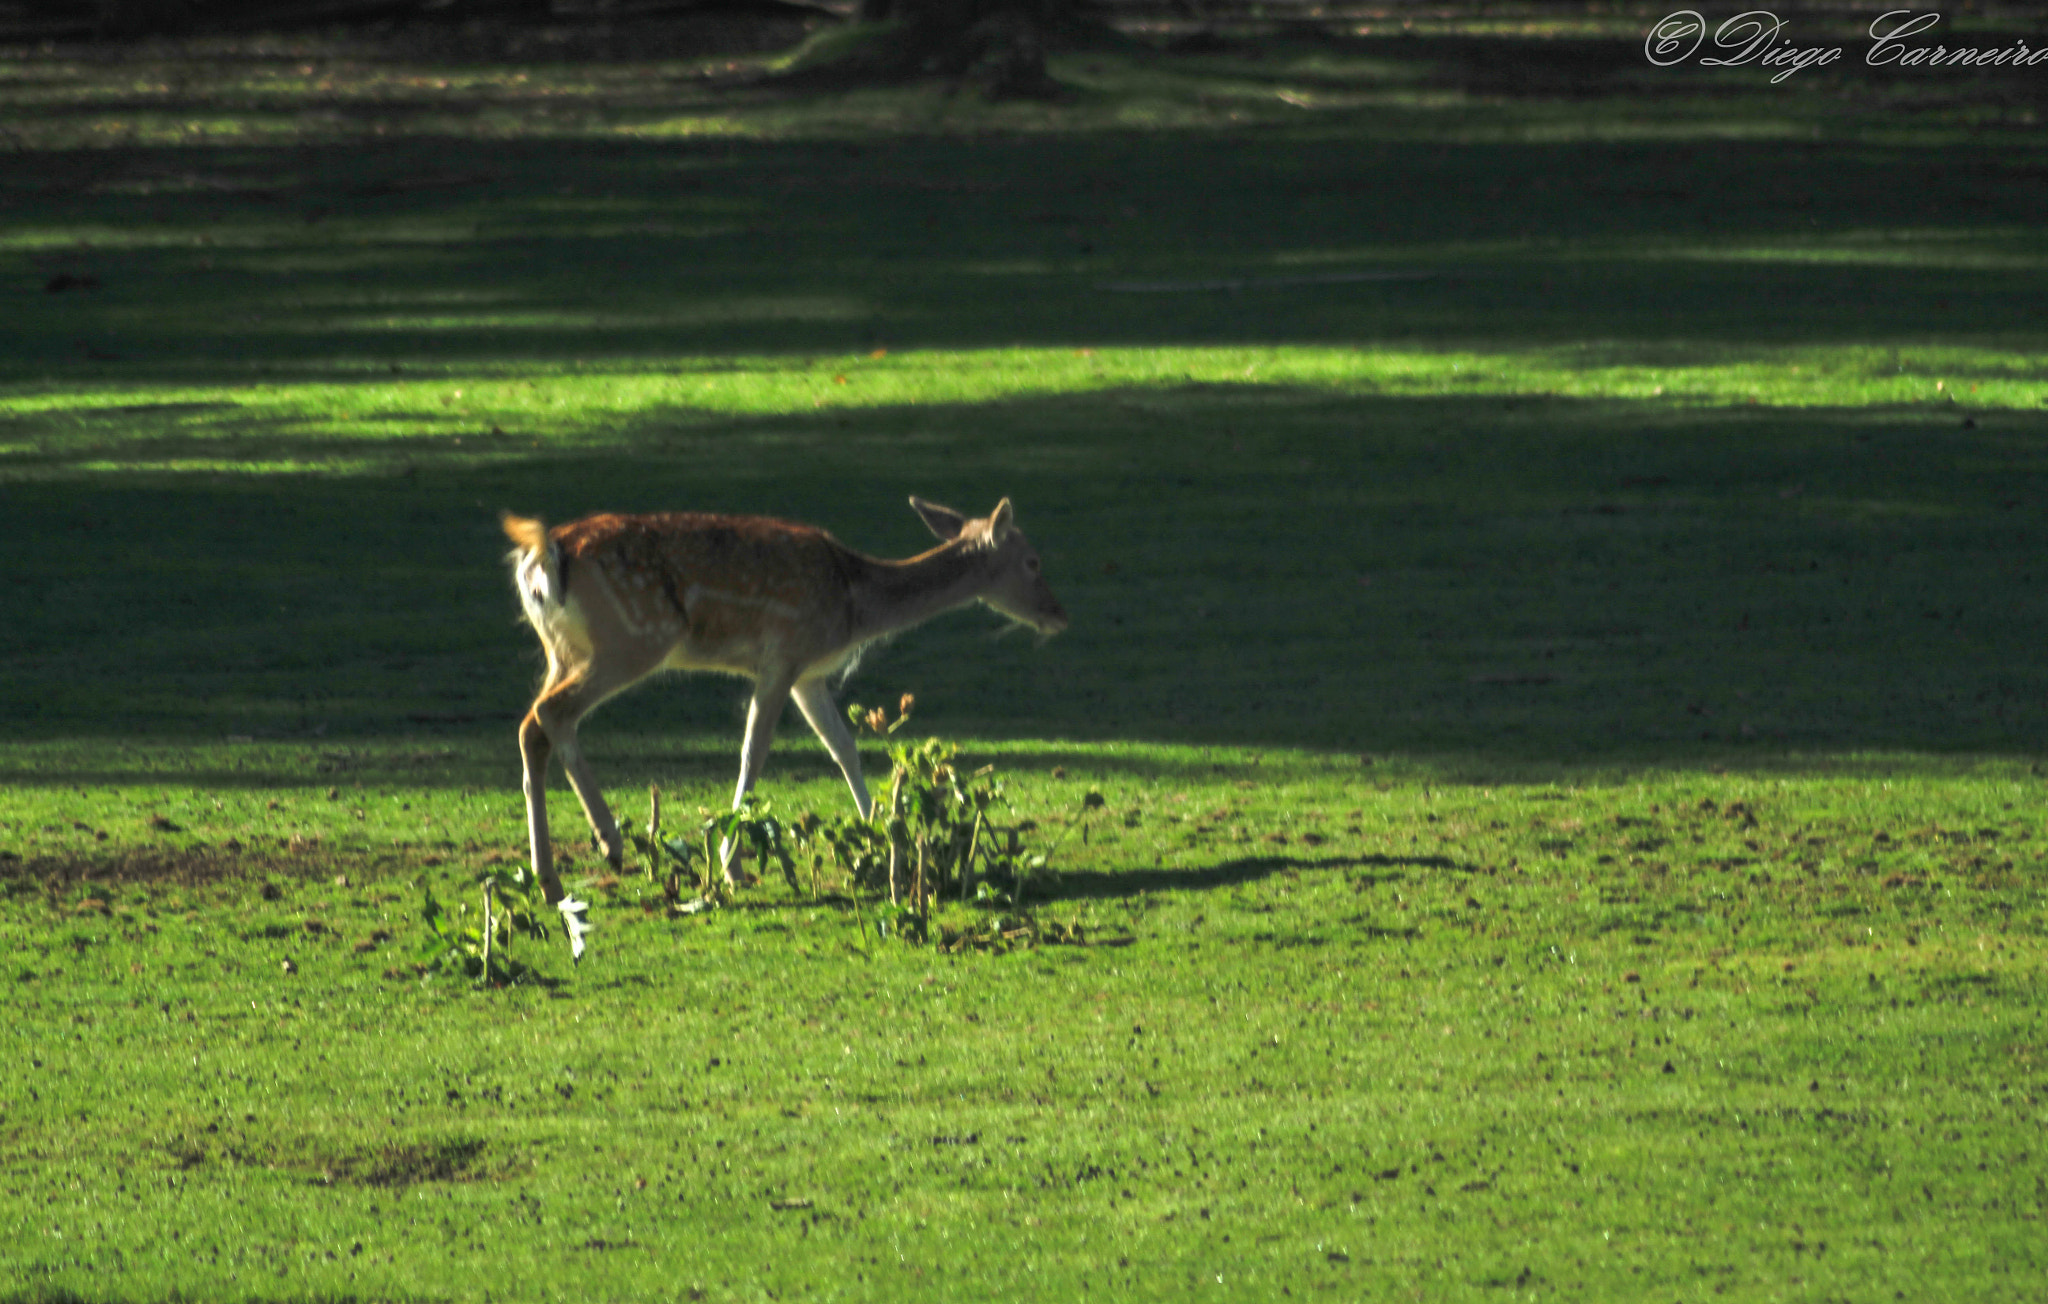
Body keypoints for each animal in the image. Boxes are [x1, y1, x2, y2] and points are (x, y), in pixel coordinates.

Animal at [501, 497, 1064, 904]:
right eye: (1033, 561)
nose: (1059, 615)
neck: (854, 603)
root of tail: (543, 554)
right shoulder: (784, 654)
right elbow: (754, 752)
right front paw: (732, 865)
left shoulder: (809, 675)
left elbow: (844, 748)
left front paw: (882, 841)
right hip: (635, 637)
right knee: (551, 714)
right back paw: (609, 841)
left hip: (563, 648)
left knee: (532, 726)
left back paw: (551, 879)